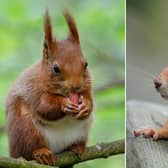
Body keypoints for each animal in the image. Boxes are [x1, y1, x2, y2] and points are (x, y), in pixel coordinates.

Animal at [4, 9, 93, 166]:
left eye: (86, 64)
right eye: (55, 68)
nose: (76, 86)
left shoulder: (87, 86)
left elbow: (90, 100)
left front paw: (86, 105)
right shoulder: (34, 90)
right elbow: (44, 106)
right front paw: (64, 104)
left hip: (82, 131)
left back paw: (76, 147)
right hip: (24, 128)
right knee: (29, 150)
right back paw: (41, 153)